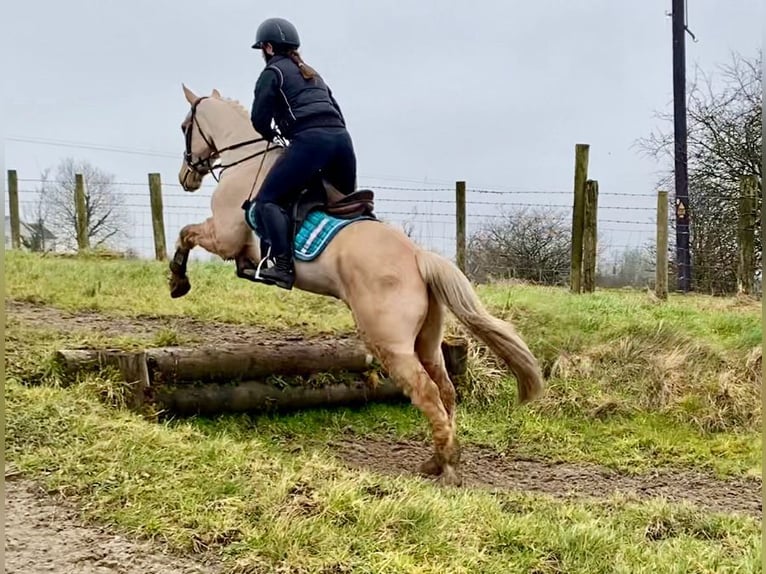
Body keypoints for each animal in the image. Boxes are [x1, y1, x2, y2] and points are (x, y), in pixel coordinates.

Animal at [174, 85, 544, 488]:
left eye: (185, 127)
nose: (185, 177)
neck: (245, 161)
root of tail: (418, 256)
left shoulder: (224, 237)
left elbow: (186, 233)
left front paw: (177, 281)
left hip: (390, 343)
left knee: (427, 392)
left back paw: (446, 467)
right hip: (427, 341)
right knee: (445, 390)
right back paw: (437, 460)